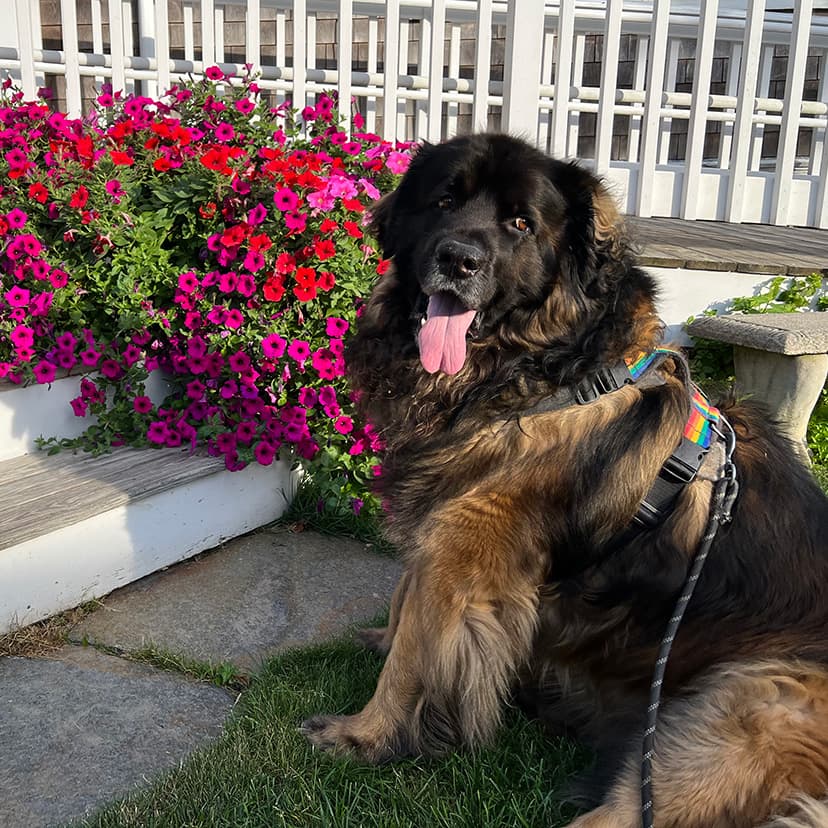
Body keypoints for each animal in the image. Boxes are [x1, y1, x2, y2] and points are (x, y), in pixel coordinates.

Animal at [302, 133, 828, 824]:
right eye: (443, 202)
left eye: (521, 224)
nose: (458, 259)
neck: (540, 370)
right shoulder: (441, 521)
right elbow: (404, 603)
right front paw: (380, 643)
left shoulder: (465, 548)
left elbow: (417, 651)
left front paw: (363, 735)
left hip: (735, 713)